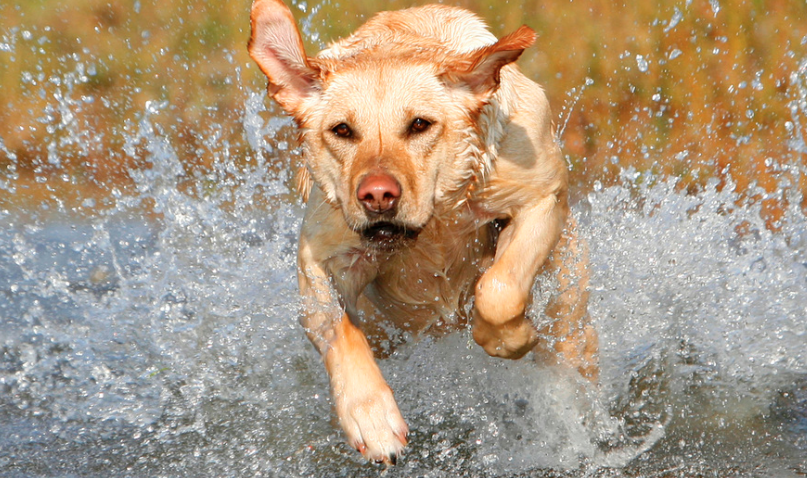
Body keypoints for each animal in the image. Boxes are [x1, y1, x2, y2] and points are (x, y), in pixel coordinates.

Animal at [249, 0, 596, 464]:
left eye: (419, 125)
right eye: (342, 130)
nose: (377, 196)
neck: (434, 226)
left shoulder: (540, 199)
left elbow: (499, 290)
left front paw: (514, 337)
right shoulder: (320, 252)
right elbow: (337, 329)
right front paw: (372, 418)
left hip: (570, 315)